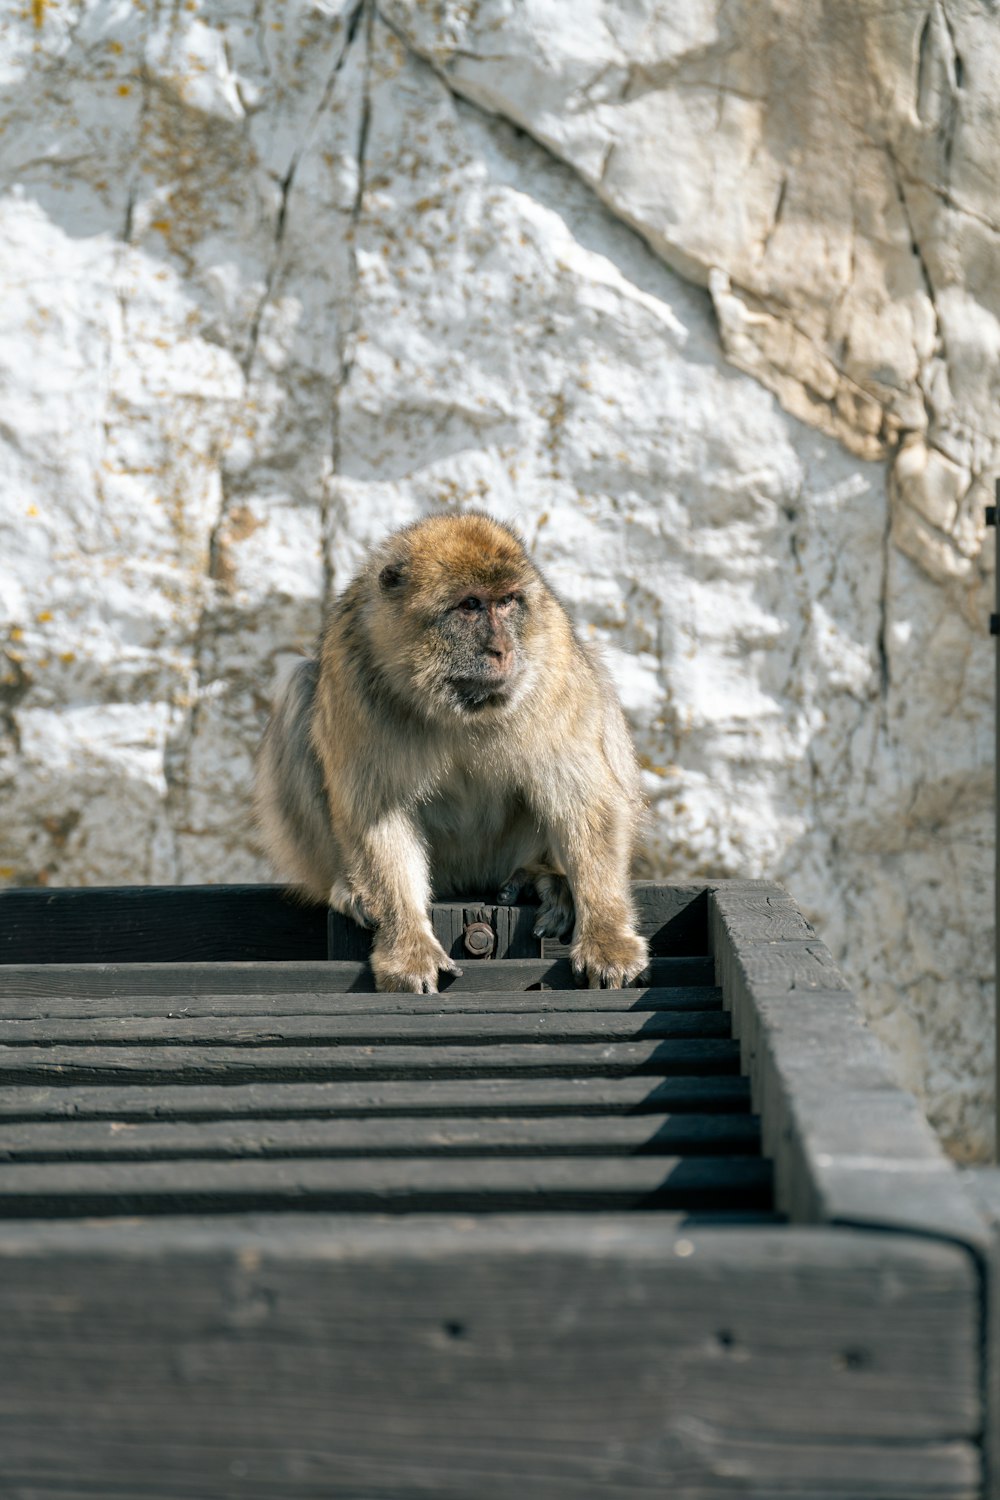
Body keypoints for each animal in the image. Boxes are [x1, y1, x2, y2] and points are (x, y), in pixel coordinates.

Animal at [254, 510, 653, 990]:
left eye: (507, 601)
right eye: (470, 605)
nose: (502, 650)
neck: (453, 703)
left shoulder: (551, 659)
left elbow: (583, 800)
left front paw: (607, 939)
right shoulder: (353, 673)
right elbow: (378, 814)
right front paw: (407, 947)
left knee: (597, 684)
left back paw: (544, 877)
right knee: (302, 687)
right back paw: (349, 888)